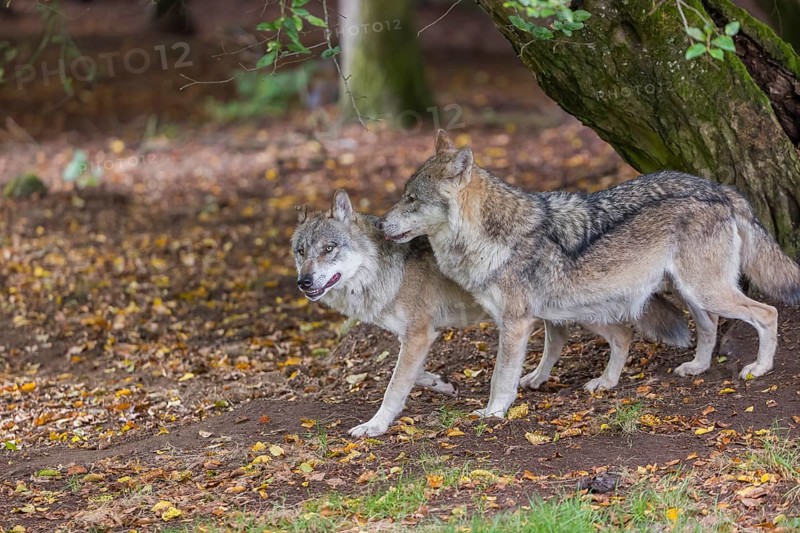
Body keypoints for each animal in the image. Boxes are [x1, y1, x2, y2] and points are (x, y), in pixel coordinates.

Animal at [292, 189, 690, 436]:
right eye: (300, 251)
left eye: (329, 248)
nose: (304, 281)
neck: (385, 268)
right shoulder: (419, 337)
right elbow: (412, 376)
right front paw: (440, 384)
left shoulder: (419, 334)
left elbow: (394, 387)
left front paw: (375, 426)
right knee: (564, 337)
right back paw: (539, 379)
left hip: (578, 310)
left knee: (622, 332)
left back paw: (604, 382)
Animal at [379, 130, 800, 418]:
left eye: (411, 199)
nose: (381, 224)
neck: (493, 236)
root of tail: (720, 189)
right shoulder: (539, 315)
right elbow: (547, 351)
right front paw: (531, 383)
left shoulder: (515, 323)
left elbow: (501, 375)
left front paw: (494, 412)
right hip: (684, 294)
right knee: (706, 326)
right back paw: (691, 368)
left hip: (704, 291)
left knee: (767, 313)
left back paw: (760, 368)